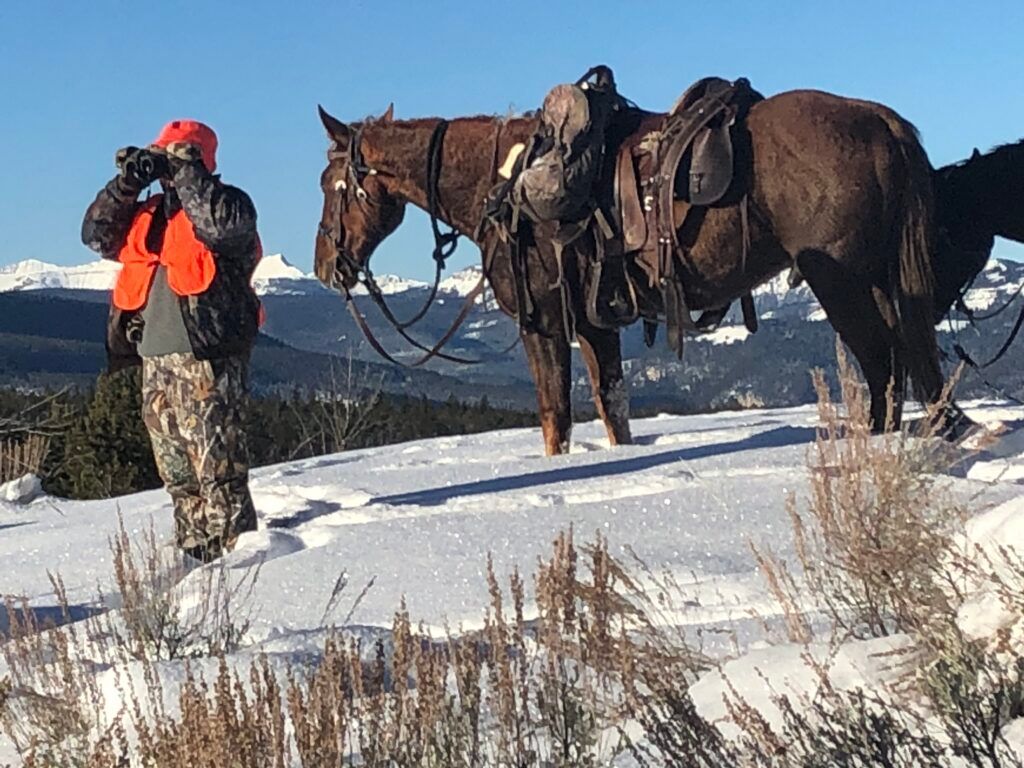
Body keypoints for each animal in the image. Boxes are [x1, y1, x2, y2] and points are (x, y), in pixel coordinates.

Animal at [315, 86, 957, 455]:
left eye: (329, 184)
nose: (325, 265)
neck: (503, 186)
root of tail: (882, 120)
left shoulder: (545, 324)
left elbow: (556, 420)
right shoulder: (596, 326)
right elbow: (614, 410)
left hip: (840, 281)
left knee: (882, 365)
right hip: (880, 282)